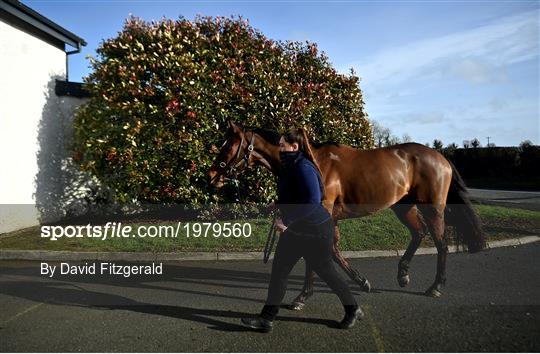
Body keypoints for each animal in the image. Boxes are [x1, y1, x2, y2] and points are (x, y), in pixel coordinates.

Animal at [207, 121, 486, 310]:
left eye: (229, 144)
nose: (211, 175)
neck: (311, 164)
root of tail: (442, 158)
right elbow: (330, 250)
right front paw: (360, 281)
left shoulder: (321, 215)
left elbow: (318, 252)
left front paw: (303, 296)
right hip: (403, 206)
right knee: (419, 233)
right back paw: (403, 274)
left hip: (432, 207)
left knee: (441, 243)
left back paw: (435, 286)